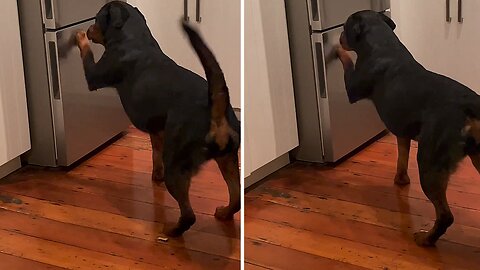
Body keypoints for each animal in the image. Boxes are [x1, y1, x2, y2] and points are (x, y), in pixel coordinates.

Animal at [75, 2, 240, 238]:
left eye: (96, 19)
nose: (88, 28)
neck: (134, 36)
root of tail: (216, 111)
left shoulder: (94, 75)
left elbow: (86, 53)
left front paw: (79, 36)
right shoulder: (157, 128)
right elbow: (155, 152)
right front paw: (155, 175)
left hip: (178, 166)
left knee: (189, 215)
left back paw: (170, 231)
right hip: (228, 159)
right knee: (236, 198)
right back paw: (224, 212)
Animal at [336, 10, 480, 247]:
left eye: (344, 27)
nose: (338, 36)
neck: (382, 43)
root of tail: (470, 106)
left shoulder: (352, 88)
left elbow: (347, 62)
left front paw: (335, 49)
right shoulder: (402, 130)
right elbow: (402, 157)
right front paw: (400, 180)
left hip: (430, 162)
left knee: (445, 215)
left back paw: (426, 239)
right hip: (477, 156)